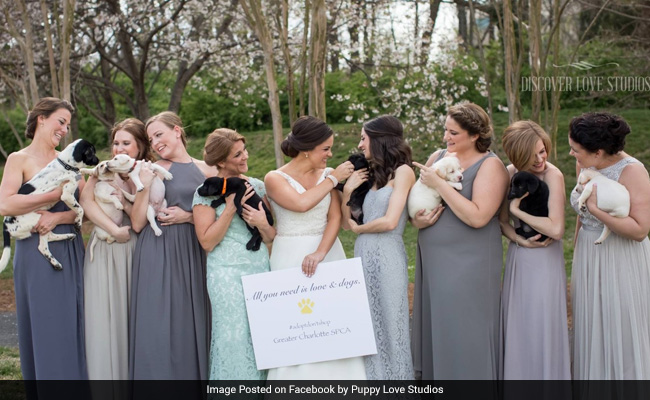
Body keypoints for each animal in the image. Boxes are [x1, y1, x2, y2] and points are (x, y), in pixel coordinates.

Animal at [0, 138, 99, 272]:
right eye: (92, 152)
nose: (98, 160)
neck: (66, 164)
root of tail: (5, 224)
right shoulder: (66, 195)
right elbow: (80, 209)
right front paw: (78, 223)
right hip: (40, 219)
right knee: (42, 247)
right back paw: (56, 262)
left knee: (49, 238)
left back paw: (68, 236)